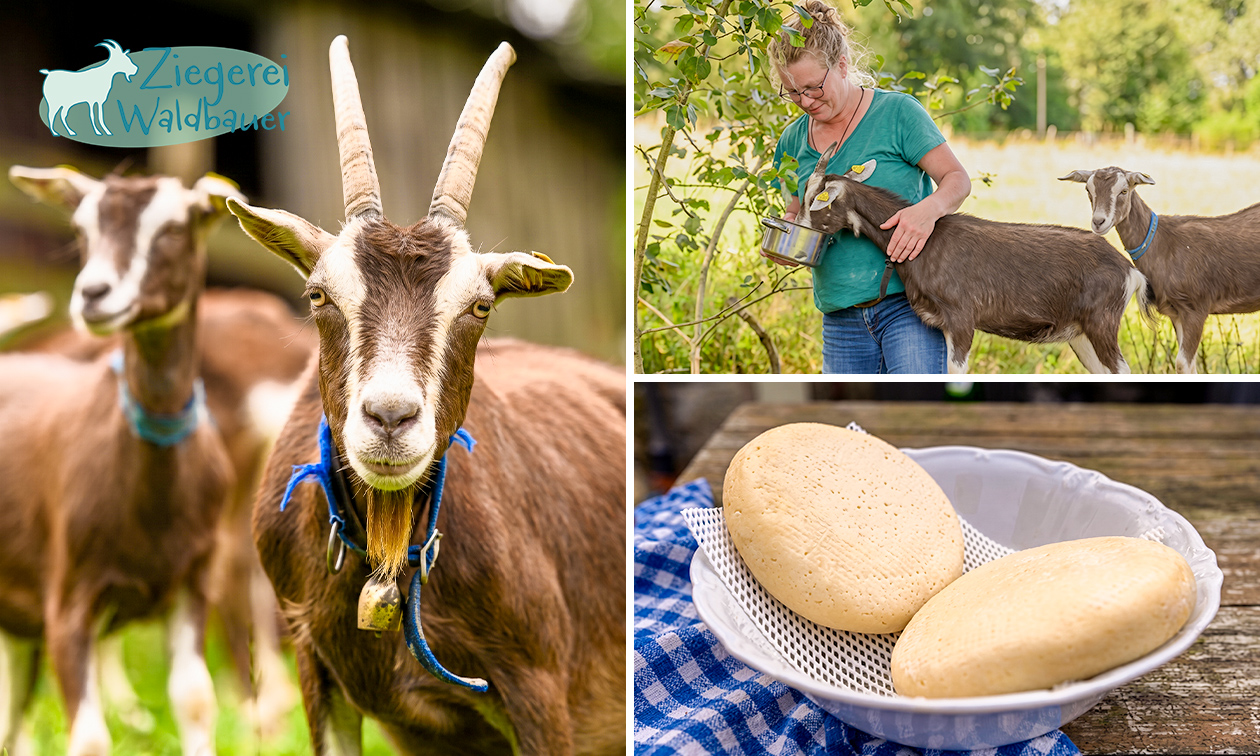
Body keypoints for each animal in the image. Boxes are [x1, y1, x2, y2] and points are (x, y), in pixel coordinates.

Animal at [799, 143, 1151, 373]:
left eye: (814, 201)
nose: (796, 222)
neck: (926, 245)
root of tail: (1131, 272)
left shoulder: (961, 318)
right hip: (1080, 334)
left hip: (1102, 322)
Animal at [1060, 166, 1260, 374]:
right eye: (1088, 190)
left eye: (1124, 191)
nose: (1099, 222)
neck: (1164, 244)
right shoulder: (1177, 312)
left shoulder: (1196, 308)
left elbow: (1182, 364)